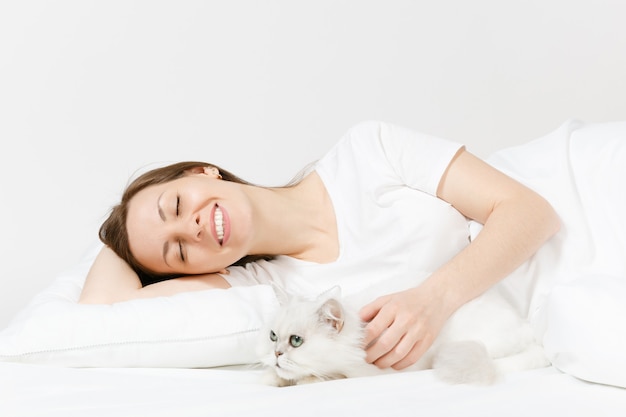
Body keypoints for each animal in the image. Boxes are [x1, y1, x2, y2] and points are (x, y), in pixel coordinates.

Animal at [256, 280, 548, 386]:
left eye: (296, 341)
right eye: (272, 337)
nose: (276, 353)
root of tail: (528, 330)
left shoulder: (369, 372)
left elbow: (324, 376)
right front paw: (273, 377)